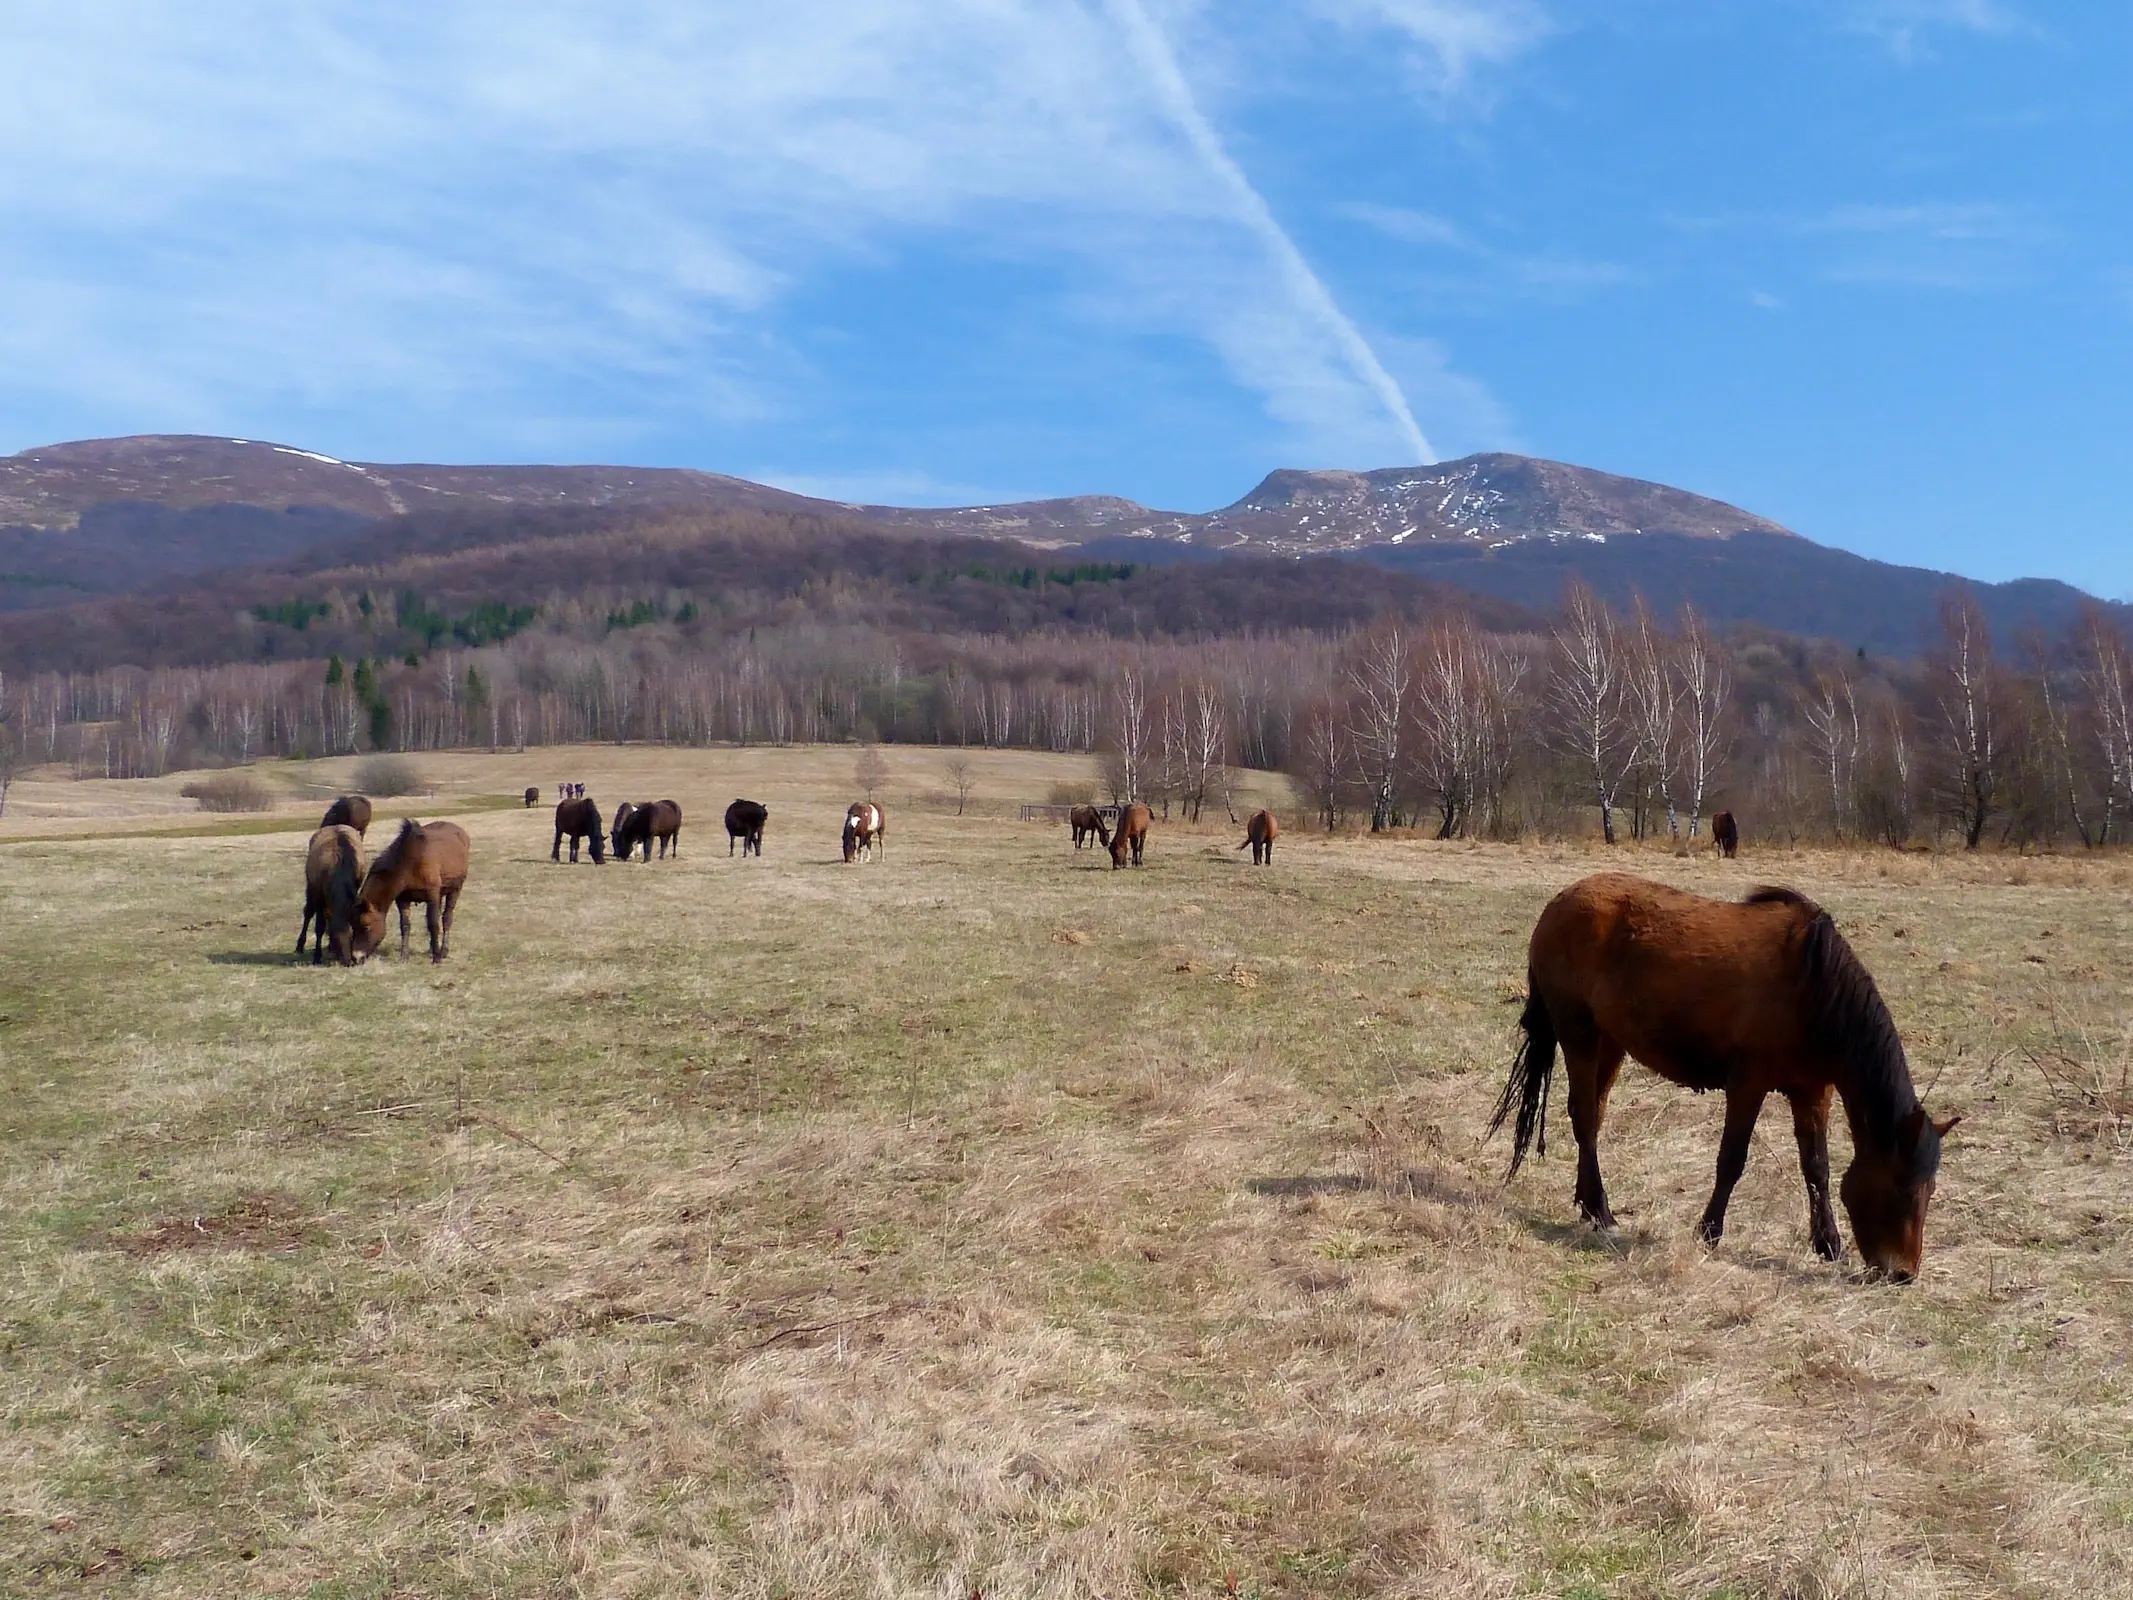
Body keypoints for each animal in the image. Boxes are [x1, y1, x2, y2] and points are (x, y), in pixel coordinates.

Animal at [296, 827, 366, 964]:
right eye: (334, 937)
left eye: (352, 936)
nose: (348, 961)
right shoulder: (318, 896)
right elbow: (319, 926)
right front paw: (317, 956)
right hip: (310, 887)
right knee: (308, 912)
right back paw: (300, 945)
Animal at [349, 827, 471, 964]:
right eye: (352, 926)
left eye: (366, 927)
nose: (356, 958)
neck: (409, 862)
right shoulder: (403, 899)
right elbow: (405, 925)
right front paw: (404, 956)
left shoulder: (432, 895)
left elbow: (433, 924)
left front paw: (436, 958)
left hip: (455, 889)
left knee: (446, 917)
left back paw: (443, 950)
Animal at [1493, 870, 1953, 1288]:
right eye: (1902, 1189)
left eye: (1930, 1190)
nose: (1902, 1274)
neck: (1813, 988)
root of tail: (1559, 902)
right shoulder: (1748, 1084)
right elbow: (1732, 1160)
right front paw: (1709, 1233)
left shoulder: (1812, 1091)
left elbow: (1816, 1167)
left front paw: (1828, 1243)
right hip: (1579, 1035)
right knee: (1586, 1118)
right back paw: (1603, 1213)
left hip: (1610, 1043)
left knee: (1592, 1114)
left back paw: (1589, 1205)